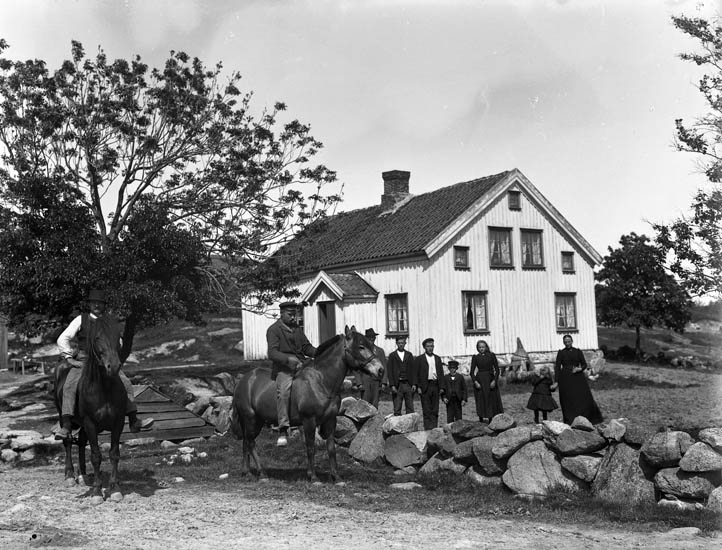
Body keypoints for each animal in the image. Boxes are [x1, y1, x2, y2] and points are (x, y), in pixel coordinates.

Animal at [53, 316, 126, 506]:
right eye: (97, 338)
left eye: (118, 337)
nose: (113, 366)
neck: (104, 389)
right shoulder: (90, 423)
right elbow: (96, 456)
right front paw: (96, 492)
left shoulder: (118, 423)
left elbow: (114, 454)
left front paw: (115, 489)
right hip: (65, 417)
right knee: (68, 442)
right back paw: (70, 476)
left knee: (81, 442)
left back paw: (83, 476)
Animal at [233, 326, 386, 486]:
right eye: (361, 347)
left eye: (370, 346)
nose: (380, 370)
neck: (322, 382)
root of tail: (243, 380)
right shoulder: (309, 421)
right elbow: (311, 447)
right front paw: (313, 477)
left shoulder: (330, 421)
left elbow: (331, 449)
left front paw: (336, 477)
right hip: (251, 419)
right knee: (250, 443)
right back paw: (262, 474)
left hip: (256, 421)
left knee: (246, 442)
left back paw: (246, 472)